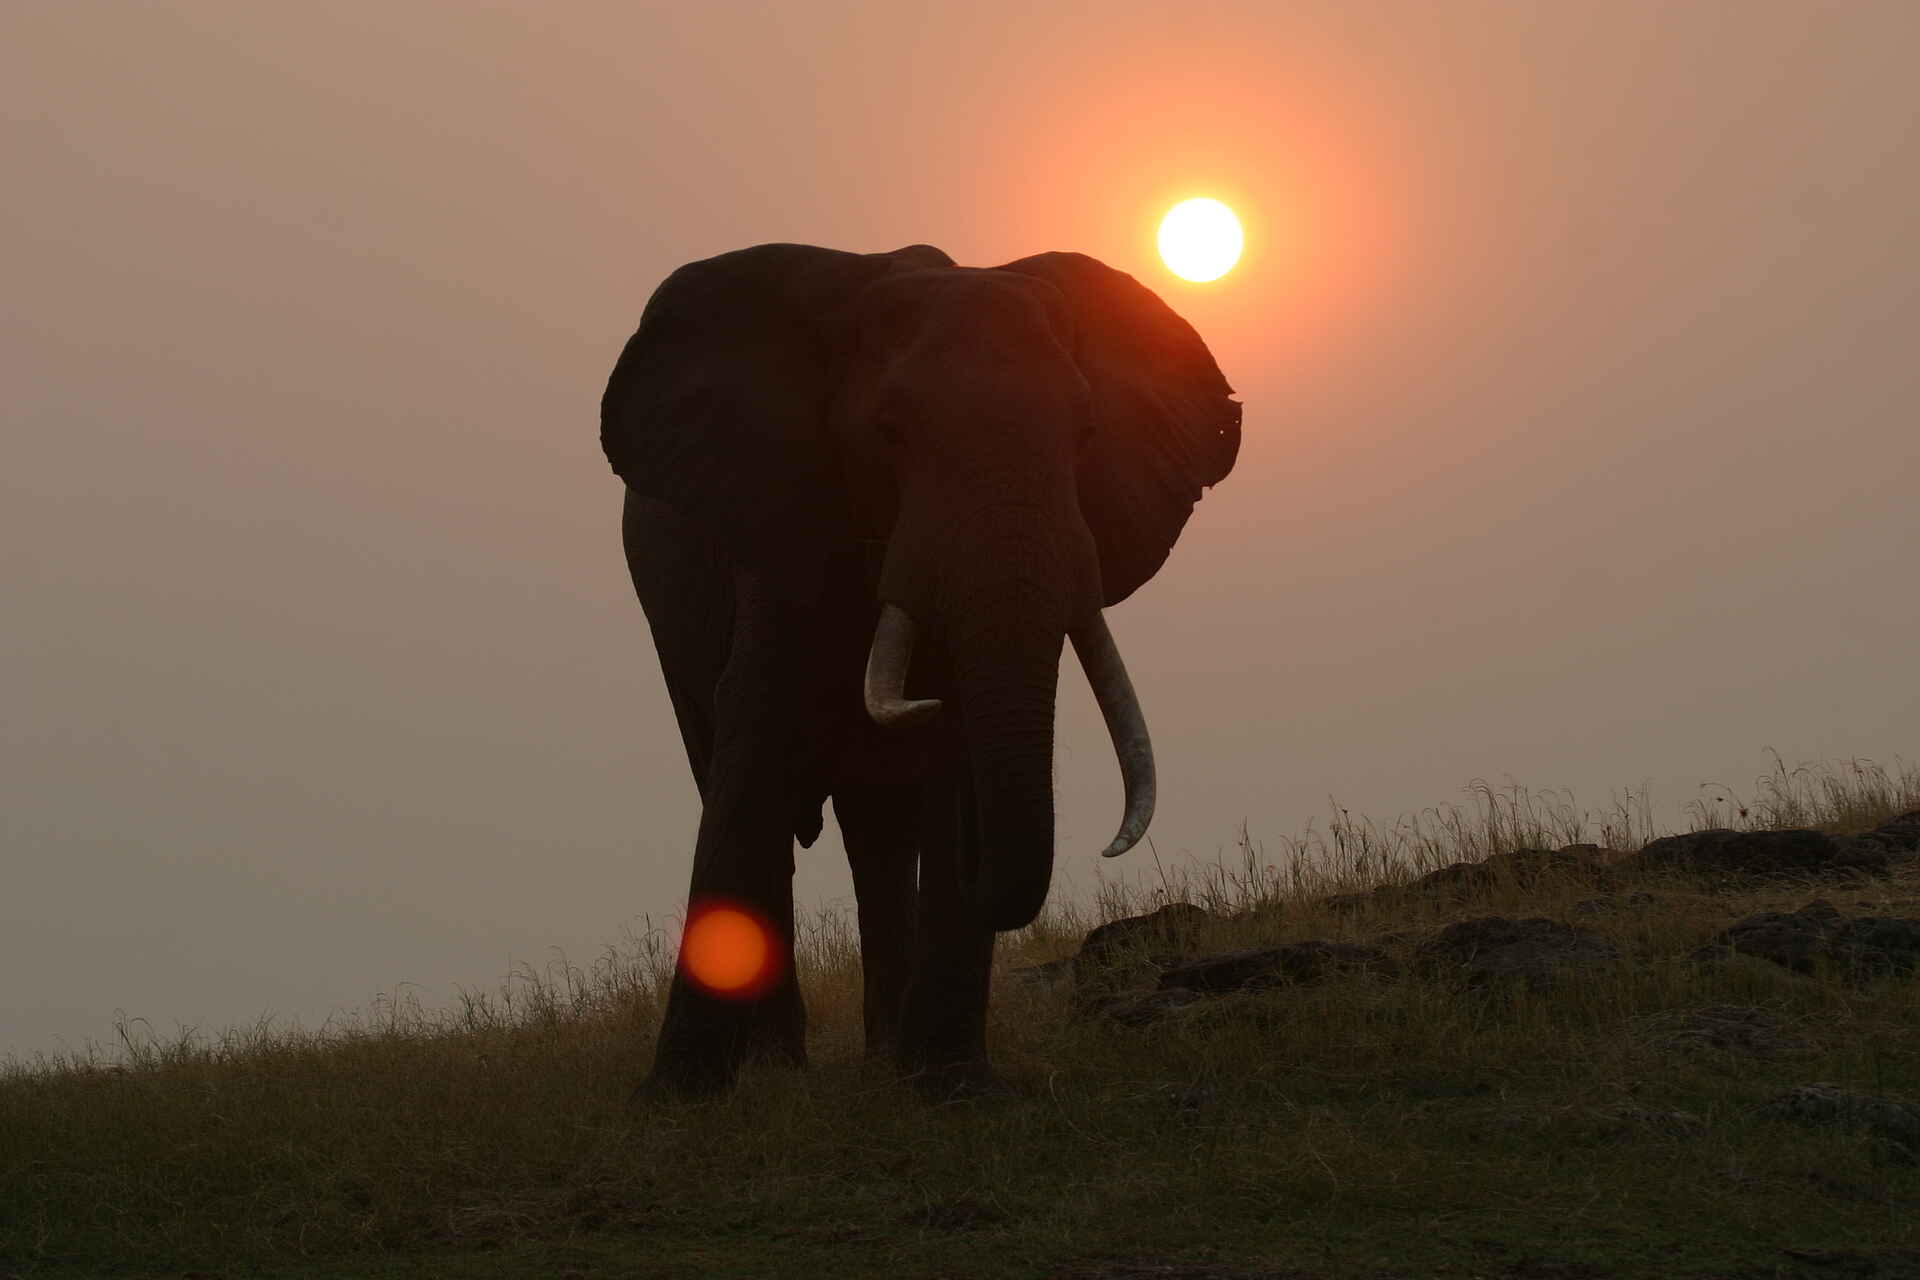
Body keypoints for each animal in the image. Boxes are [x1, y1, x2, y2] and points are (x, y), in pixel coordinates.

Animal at [600, 242, 1239, 1096]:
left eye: (1085, 430)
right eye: (889, 432)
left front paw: (951, 1087)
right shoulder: (785, 525)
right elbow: (754, 746)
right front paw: (680, 1096)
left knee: (878, 829)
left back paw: (879, 1057)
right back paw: (782, 1061)